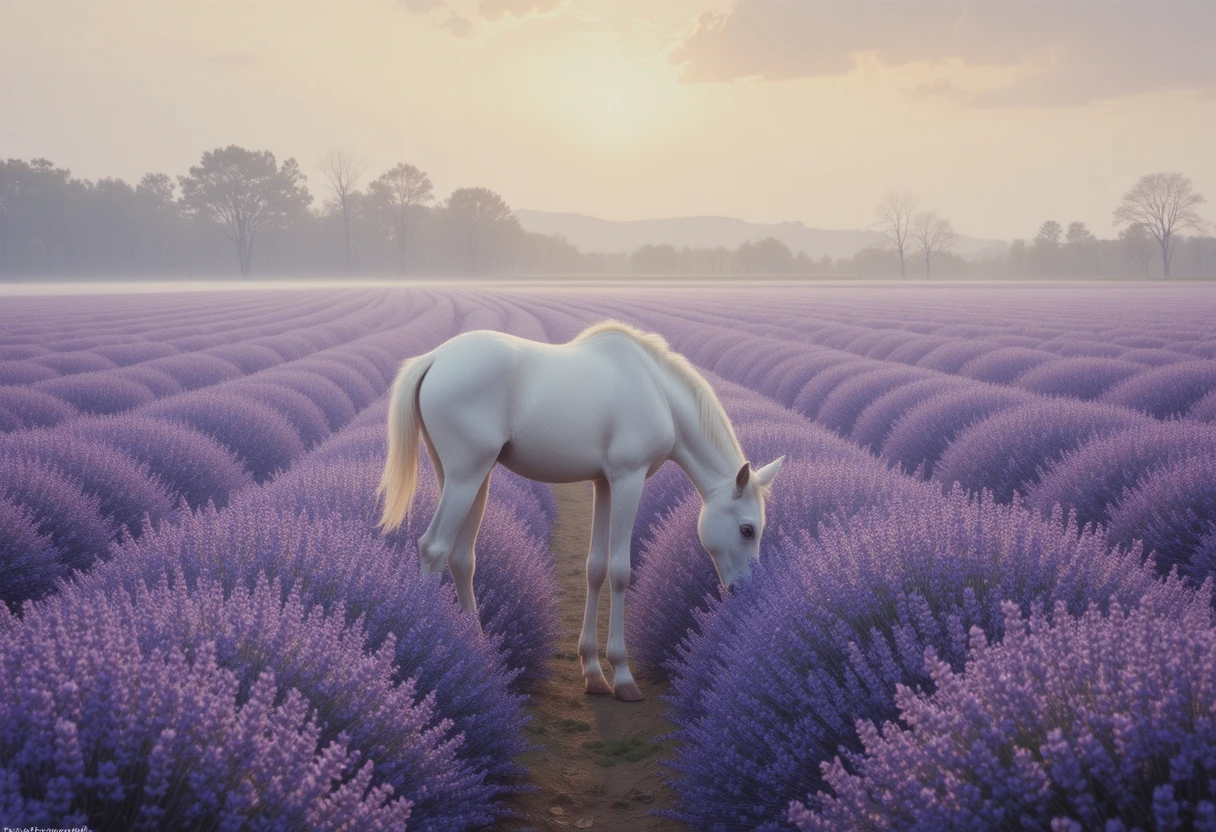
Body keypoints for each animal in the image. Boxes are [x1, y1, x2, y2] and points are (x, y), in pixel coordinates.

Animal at [378, 321, 783, 702]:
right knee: (433, 549)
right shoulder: (628, 480)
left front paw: (593, 672)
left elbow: (596, 568)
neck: (658, 392)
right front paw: (623, 676)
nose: (744, 591)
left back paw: (479, 659)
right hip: (466, 475)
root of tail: (434, 359)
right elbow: (619, 572)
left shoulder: (603, 484)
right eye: (747, 529)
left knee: (462, 557)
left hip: (467, 477)